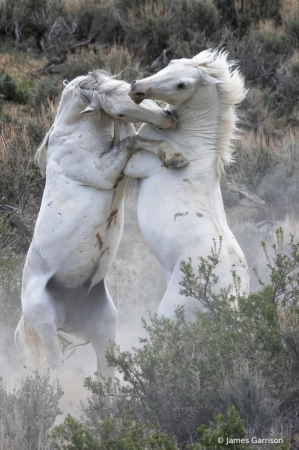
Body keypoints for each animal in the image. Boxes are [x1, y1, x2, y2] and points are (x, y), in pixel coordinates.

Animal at [15, 69, 189, 372]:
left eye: (130, 88)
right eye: (119, 111)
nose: (169, 117)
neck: (74, 133)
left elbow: (137, 141)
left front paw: (174, 157)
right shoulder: (105, 172)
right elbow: (131, 142)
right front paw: (174, 156)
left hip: (104, 330)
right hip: (47, 326)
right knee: (56, 367)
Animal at [126, 51, 251, 322]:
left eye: (181, 85)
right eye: (171, 62)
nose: (136, 88)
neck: (191, 139)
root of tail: (232, 298)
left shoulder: (133, 165)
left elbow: (132, 140)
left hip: (170, 311)